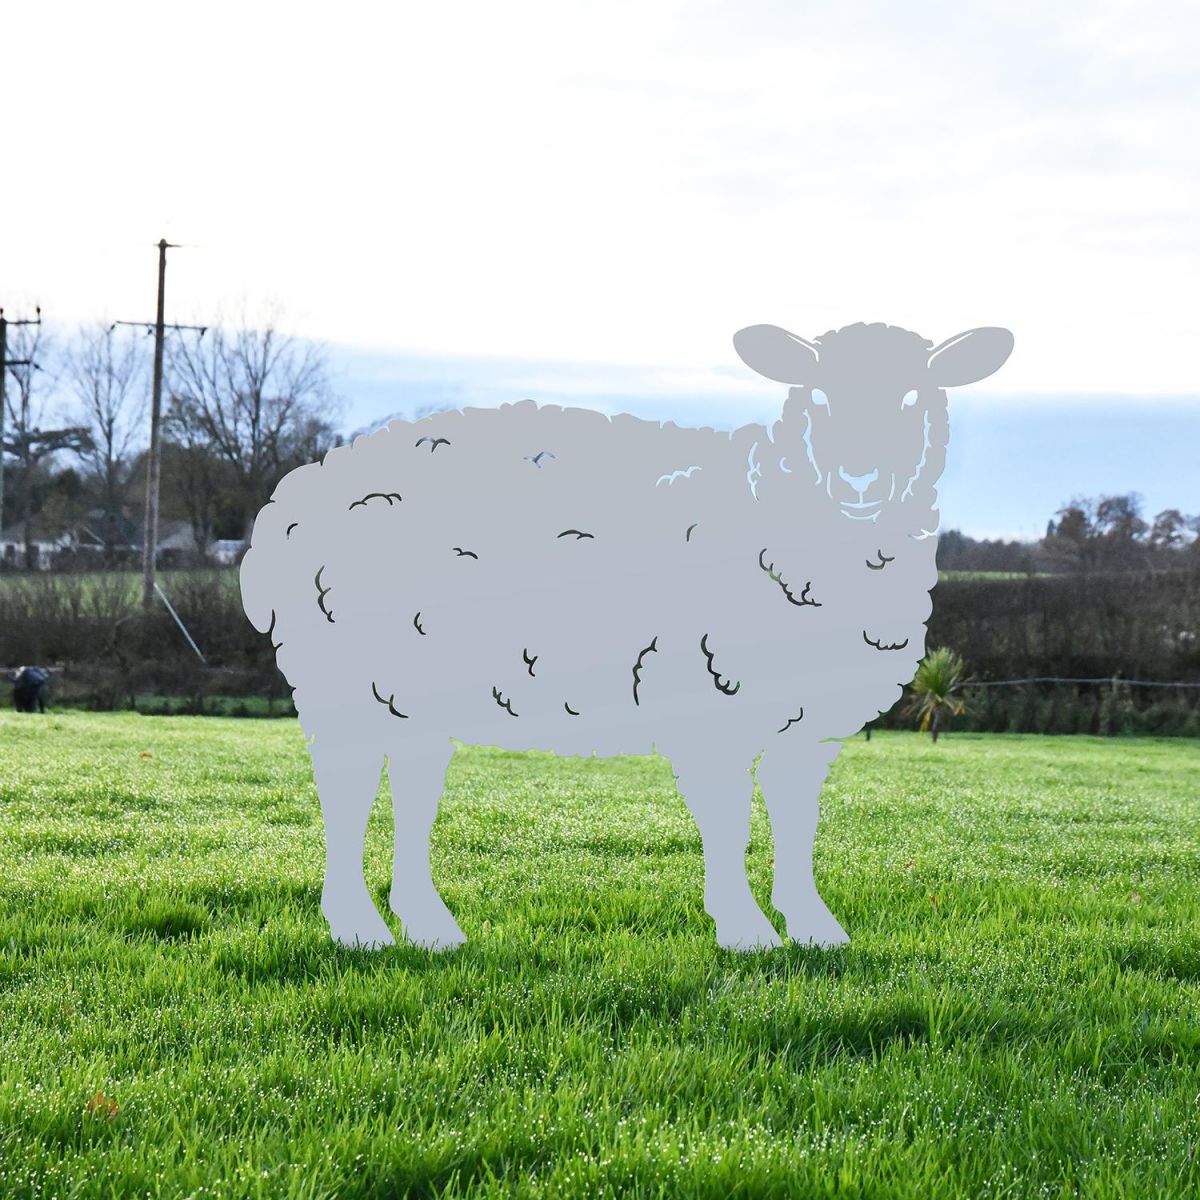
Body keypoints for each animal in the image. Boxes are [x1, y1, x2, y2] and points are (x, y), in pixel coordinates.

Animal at [241, 321, 1014, 952]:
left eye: (916, 397)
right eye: (818, 396)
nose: (860, 480)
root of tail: (294, 493)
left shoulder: (808, 725)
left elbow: (798, 824)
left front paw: (815, 930)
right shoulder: (706, 694)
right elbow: (730, 821)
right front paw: (746, 933)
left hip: (407, 691)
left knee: (411, 786)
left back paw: (428, 929)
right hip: (338, 678)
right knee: (346, 794)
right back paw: (358, 929)